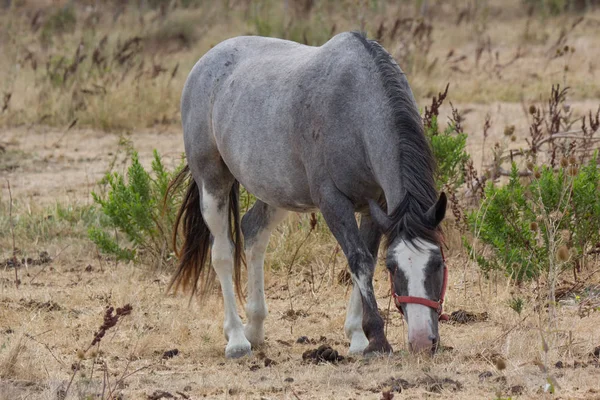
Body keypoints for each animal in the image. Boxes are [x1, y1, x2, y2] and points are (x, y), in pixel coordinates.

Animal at [166, 30, 448, 356]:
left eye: (438, 263)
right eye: (394, 268)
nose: (422, 341)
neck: (355, 107)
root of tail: (205, 63)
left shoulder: (375, 206)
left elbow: (367, 257)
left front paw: (357, 334)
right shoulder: (333, 202)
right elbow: (360, 261)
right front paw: (375, 339)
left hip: (277, 191)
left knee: (253, 231)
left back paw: (255, 328)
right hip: (212, 183)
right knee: (223, 253)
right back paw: (237, 339)